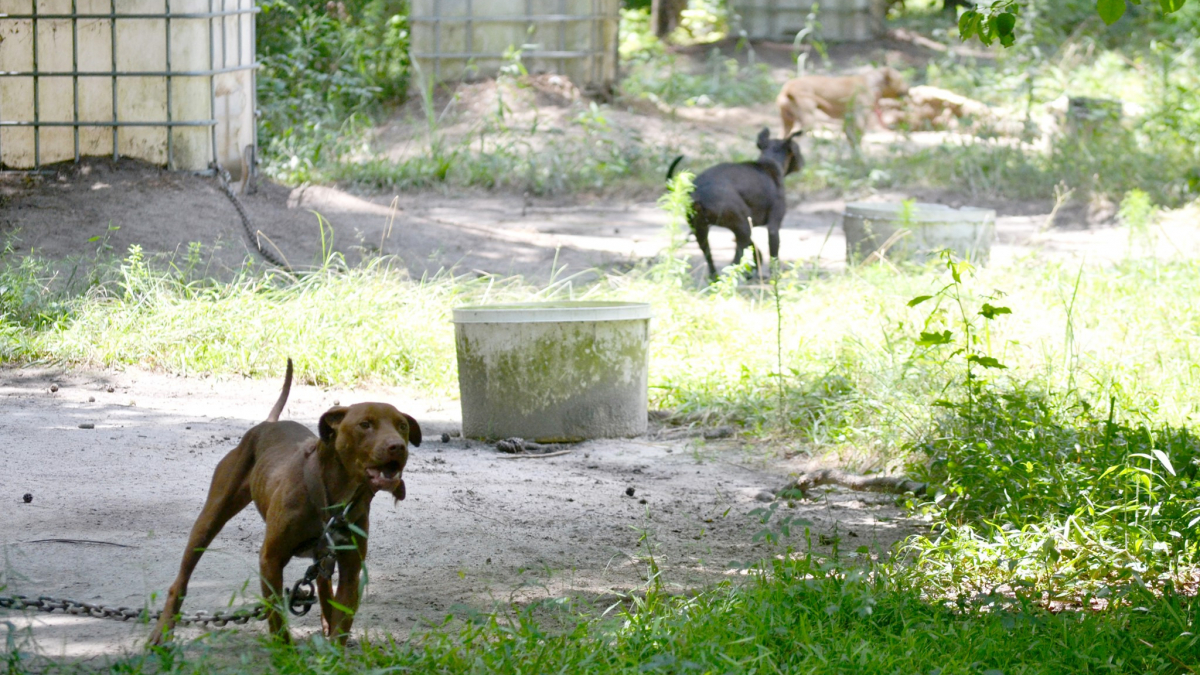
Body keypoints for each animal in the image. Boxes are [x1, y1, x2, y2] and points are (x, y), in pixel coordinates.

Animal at [150, 360, 422, 643]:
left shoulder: (351, 568)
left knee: (324, 586)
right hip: (209, 519)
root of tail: (267, 424)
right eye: (365, 424)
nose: (397, 446)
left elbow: (342, 621)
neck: (333, 495)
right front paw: (286, 648)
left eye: (402, 426)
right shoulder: (270, 559)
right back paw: (162, 631)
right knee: (181, 579)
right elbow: (277, 618)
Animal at [667, 128, 806, 278]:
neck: (770, 162)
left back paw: (715, 278)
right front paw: (774, 279)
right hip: (740, 229)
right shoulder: (772, 227)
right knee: (733, 263)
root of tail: (698, 193)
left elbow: (755, 247)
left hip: (702, 230)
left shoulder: (742, 227)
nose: (803, 161)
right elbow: (773, 256)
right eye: (798, 149)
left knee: (711, 260)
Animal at [777, 66, 907, 145]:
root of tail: (788, 88)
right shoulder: (859, 122)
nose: (908, 88)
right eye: (901, 79)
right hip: (807, 123)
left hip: (787, 124)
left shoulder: (849, 123)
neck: (873, 83)